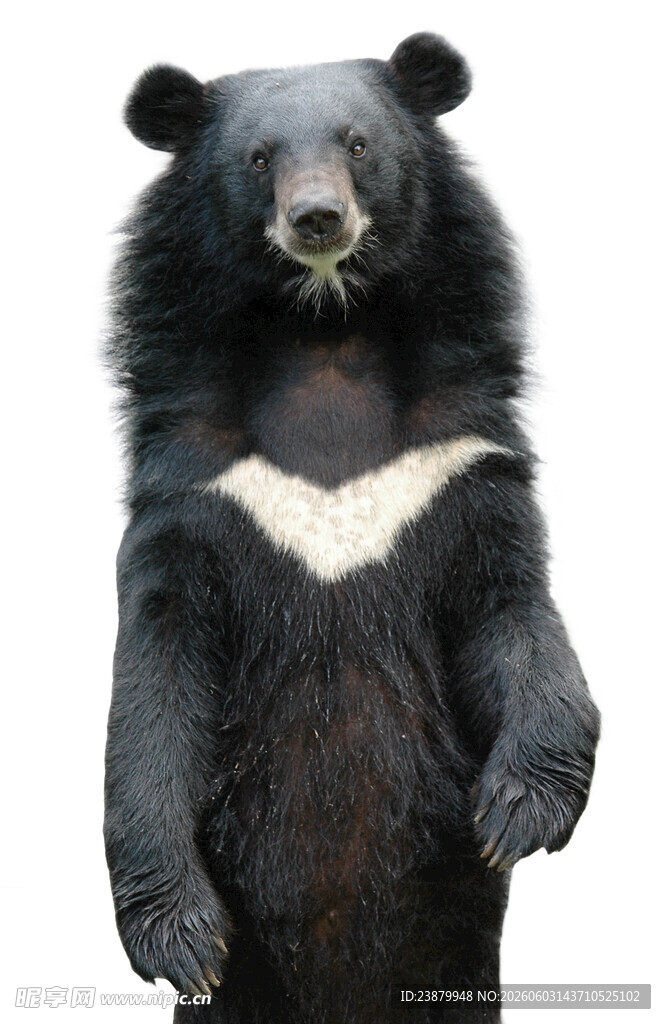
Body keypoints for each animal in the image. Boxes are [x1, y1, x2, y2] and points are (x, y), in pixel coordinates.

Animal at [104, 32, 600, 1024]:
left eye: (359, 144)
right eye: (260, 160)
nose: (319, 220)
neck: (324, 332)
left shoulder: (457, 459)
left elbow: (515, 616)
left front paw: (514, 815)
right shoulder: (193, 482)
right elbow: (154, 684)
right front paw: (182, 940)